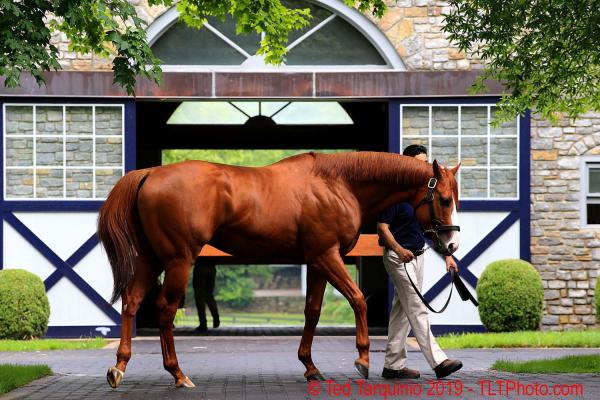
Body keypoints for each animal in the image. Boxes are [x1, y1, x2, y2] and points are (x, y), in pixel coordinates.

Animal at [99, 152, 460, 388]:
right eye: (444, 198)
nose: (452, 244)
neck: (337, 183)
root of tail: (149, 174)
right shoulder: (328, 257)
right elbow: (358, 299)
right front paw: (362, 360)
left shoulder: (317, 262)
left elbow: (312, 311)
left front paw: (310, 367)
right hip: (178, 260)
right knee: (165, 309)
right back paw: (178, 374)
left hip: (151, 259)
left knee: (131, 302)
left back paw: (119, 367)